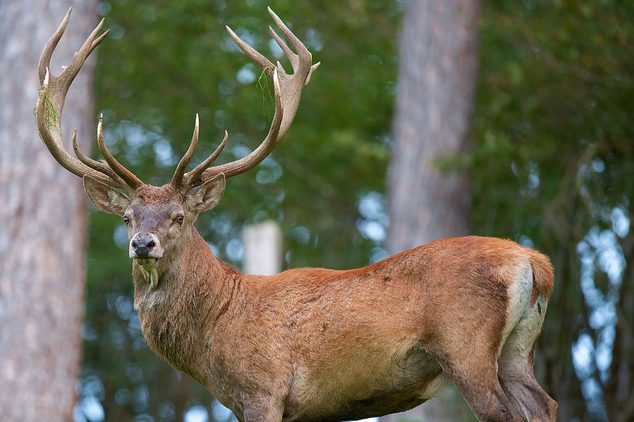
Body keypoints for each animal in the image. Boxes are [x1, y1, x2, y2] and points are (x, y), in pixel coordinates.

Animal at [37, 7, 556, 422]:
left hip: (466, 346)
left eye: (180, 216)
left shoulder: (261, 391)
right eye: (128, 217)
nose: (142, 244)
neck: (216, 329)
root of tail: (534, 263)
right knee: (545, 404)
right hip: (517, 352)